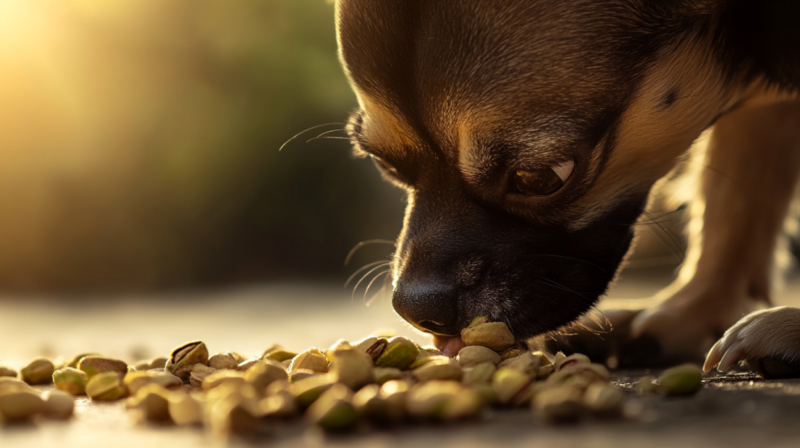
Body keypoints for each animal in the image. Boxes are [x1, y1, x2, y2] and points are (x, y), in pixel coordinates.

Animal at [334, 0, 800, 374]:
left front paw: (786, 327)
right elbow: (734, 211)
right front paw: (688, 315)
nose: (417, 309)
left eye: (540, 178)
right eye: (384, 164)